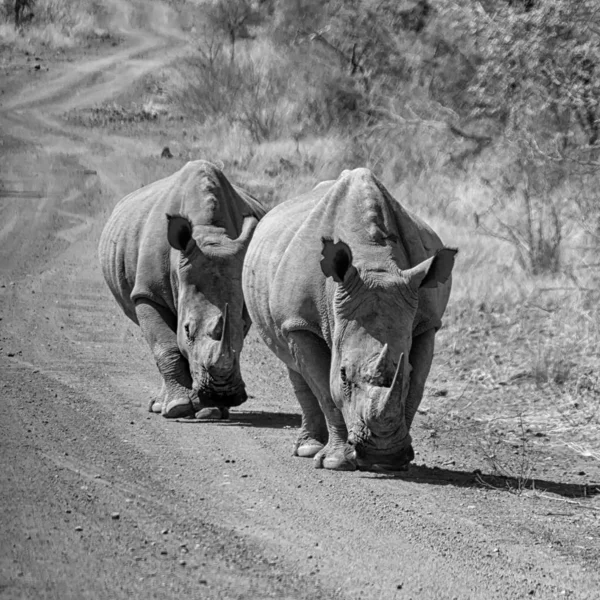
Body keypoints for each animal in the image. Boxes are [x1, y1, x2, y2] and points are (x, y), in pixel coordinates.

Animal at [99, 162, 264, 420]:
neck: (211, 233)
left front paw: (209, 410)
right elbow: (165, 346)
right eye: (187, 329)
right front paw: (179, 406)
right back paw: (164, 405)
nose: (221, 394)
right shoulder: (148, 293)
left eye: (243, 324)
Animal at [241, 166, 458, 472]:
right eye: (343, 374)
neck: (374, 262)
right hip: (287, 314)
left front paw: (397, 462)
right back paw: (308, 449)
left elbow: (416, 388)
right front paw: (336, 461)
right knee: (293, 364)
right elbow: (325, 390)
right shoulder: (300, 322)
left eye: (406, 370)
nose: (382, 455)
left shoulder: (426, 323)